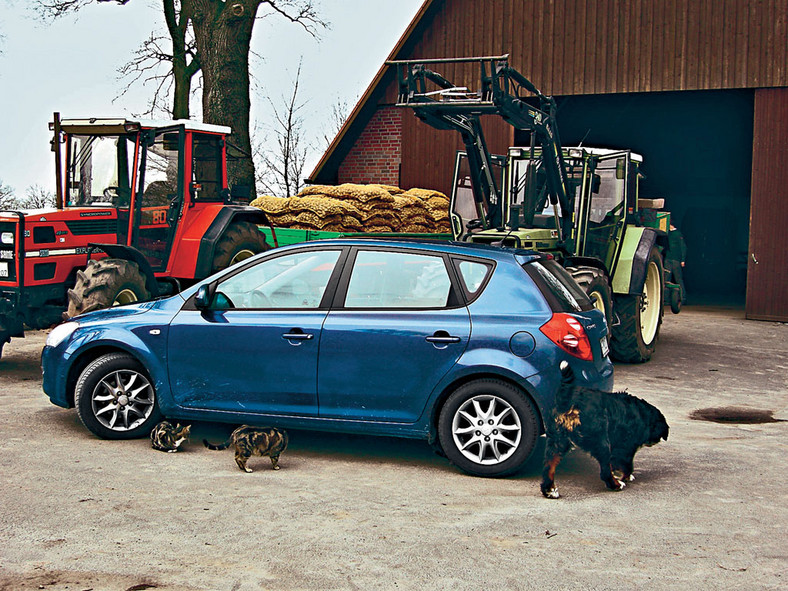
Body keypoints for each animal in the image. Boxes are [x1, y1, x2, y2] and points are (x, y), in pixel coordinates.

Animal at [540, 360, 672, 500]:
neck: (642, 415)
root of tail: (569, 399)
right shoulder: (626, 448)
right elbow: (627, 465)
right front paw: (625, 477)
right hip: (601, 441)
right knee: (604, 472)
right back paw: (616, 485)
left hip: (558, 441)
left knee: (548, 466)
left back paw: (549, 490)